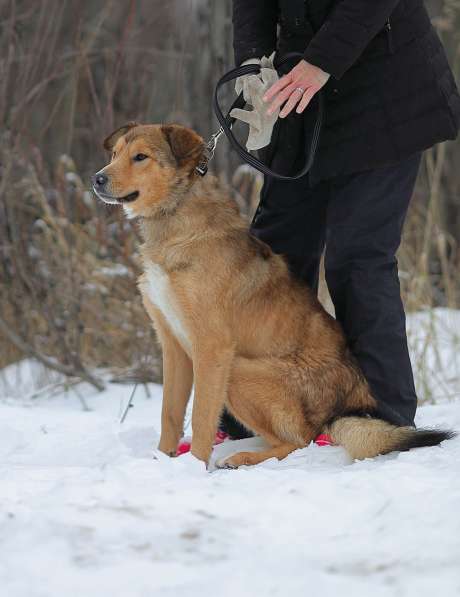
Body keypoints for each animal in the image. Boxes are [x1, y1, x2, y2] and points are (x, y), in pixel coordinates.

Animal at [92, 123, 452, 468]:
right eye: (115, 153)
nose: (97, 179)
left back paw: (242, 458)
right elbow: (169, 413)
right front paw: (163, 460)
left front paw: (193, 467)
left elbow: (201, 417)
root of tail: (342, 409)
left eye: (141, 157)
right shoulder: (173, 344)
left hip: (240, 371)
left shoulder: (211, 347)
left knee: (300, 440)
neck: (174, 216)